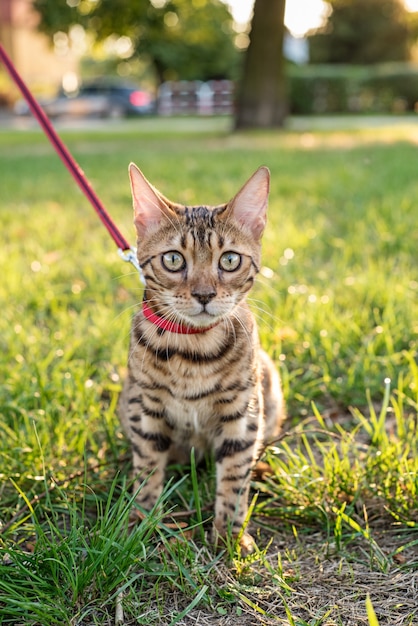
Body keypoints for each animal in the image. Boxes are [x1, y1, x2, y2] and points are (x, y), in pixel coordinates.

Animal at [119, 162, 286, 552]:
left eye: (230, 260)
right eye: (173, 259)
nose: (205, 294)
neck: (192, 352)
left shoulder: (242, 413)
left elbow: (235, 478)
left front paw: (230, 535)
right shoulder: (146, 408)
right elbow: (147, 468)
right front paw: (142, 521)